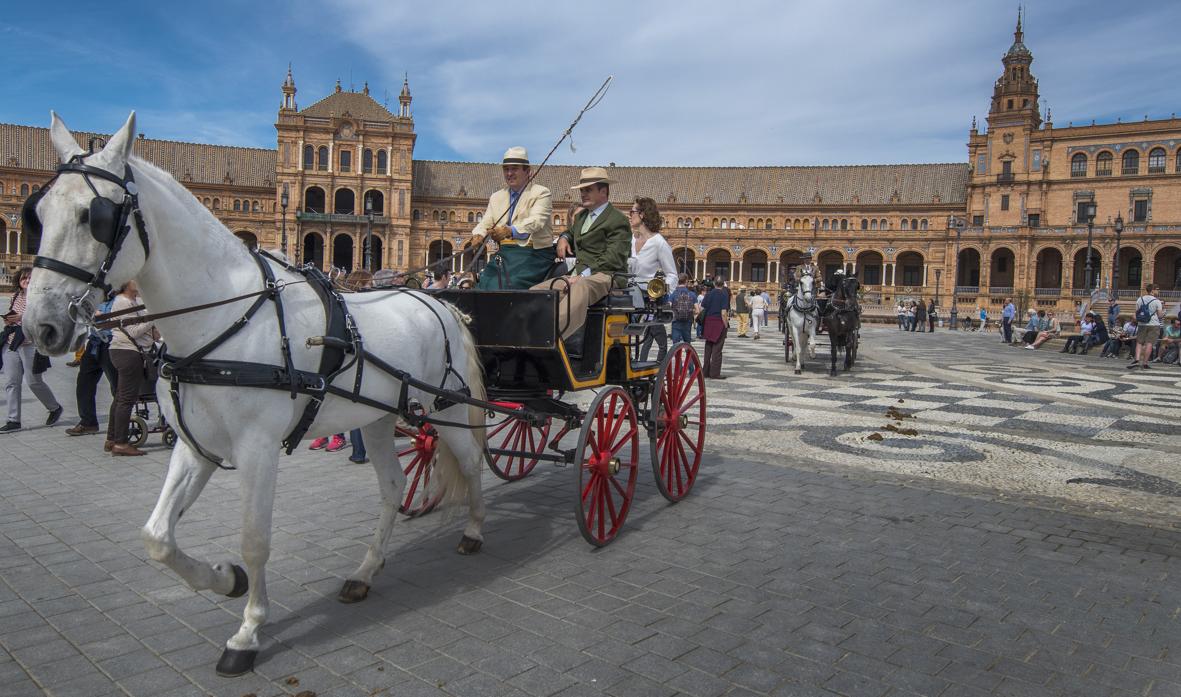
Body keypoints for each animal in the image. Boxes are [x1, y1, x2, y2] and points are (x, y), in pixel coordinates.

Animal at [21, 113, 488, 675]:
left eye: (95, 216)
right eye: (37, 213)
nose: (40, 326)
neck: (222, 319)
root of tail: (439, 302)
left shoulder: (258, 447)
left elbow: (255, 538)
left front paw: (247, 632)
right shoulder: (195, 445)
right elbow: (157, 536)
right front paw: (225, 580)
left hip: (448, 408)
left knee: (472, 462)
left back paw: (474, 533)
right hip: (376, 417)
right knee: (393, 486)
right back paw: (364, 571)